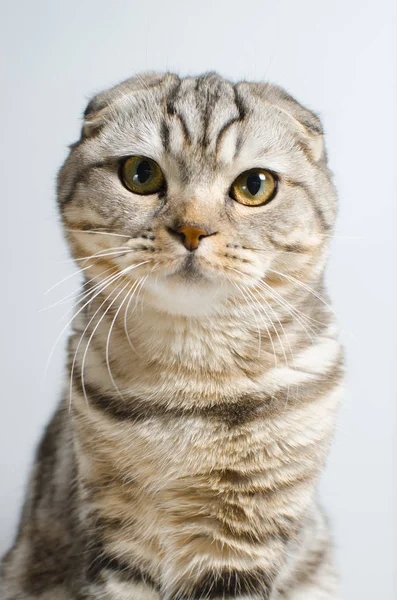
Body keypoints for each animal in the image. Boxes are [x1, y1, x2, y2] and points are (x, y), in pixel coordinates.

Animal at [0, 72, 344, 596]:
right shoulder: (117, 531)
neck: (191, 386)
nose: (192, 230)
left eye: (255, 185)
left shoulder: (245, 533)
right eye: (141, 174)